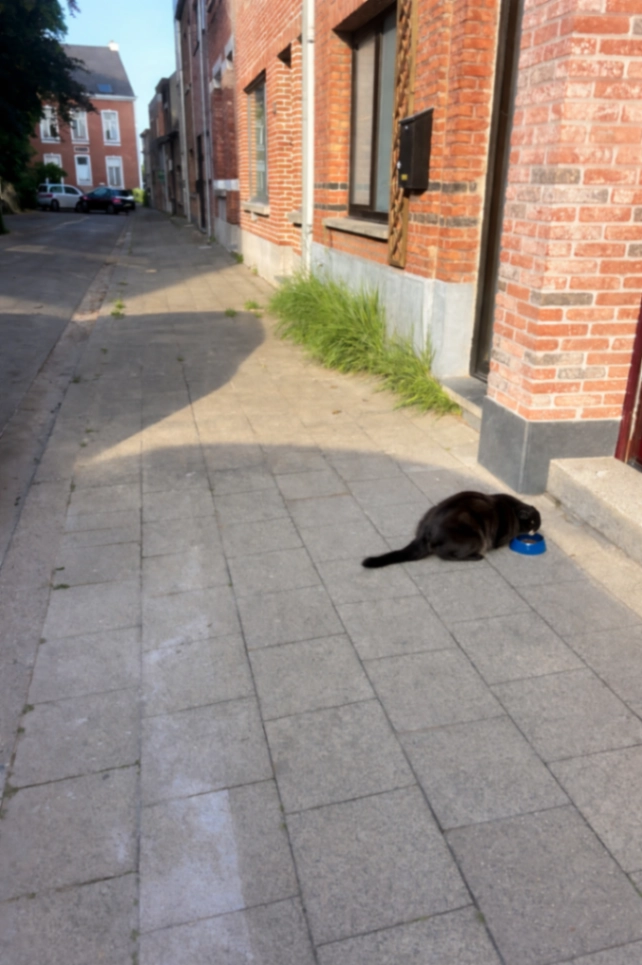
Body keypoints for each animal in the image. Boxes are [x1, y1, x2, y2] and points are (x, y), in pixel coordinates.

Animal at [362, 491, 541, 567]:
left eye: (538, 522)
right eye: (533, 522)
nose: (538, 528)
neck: (513, 508)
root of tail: (425, 532)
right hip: (475, 538)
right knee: (445, 555)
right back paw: (477, 557)